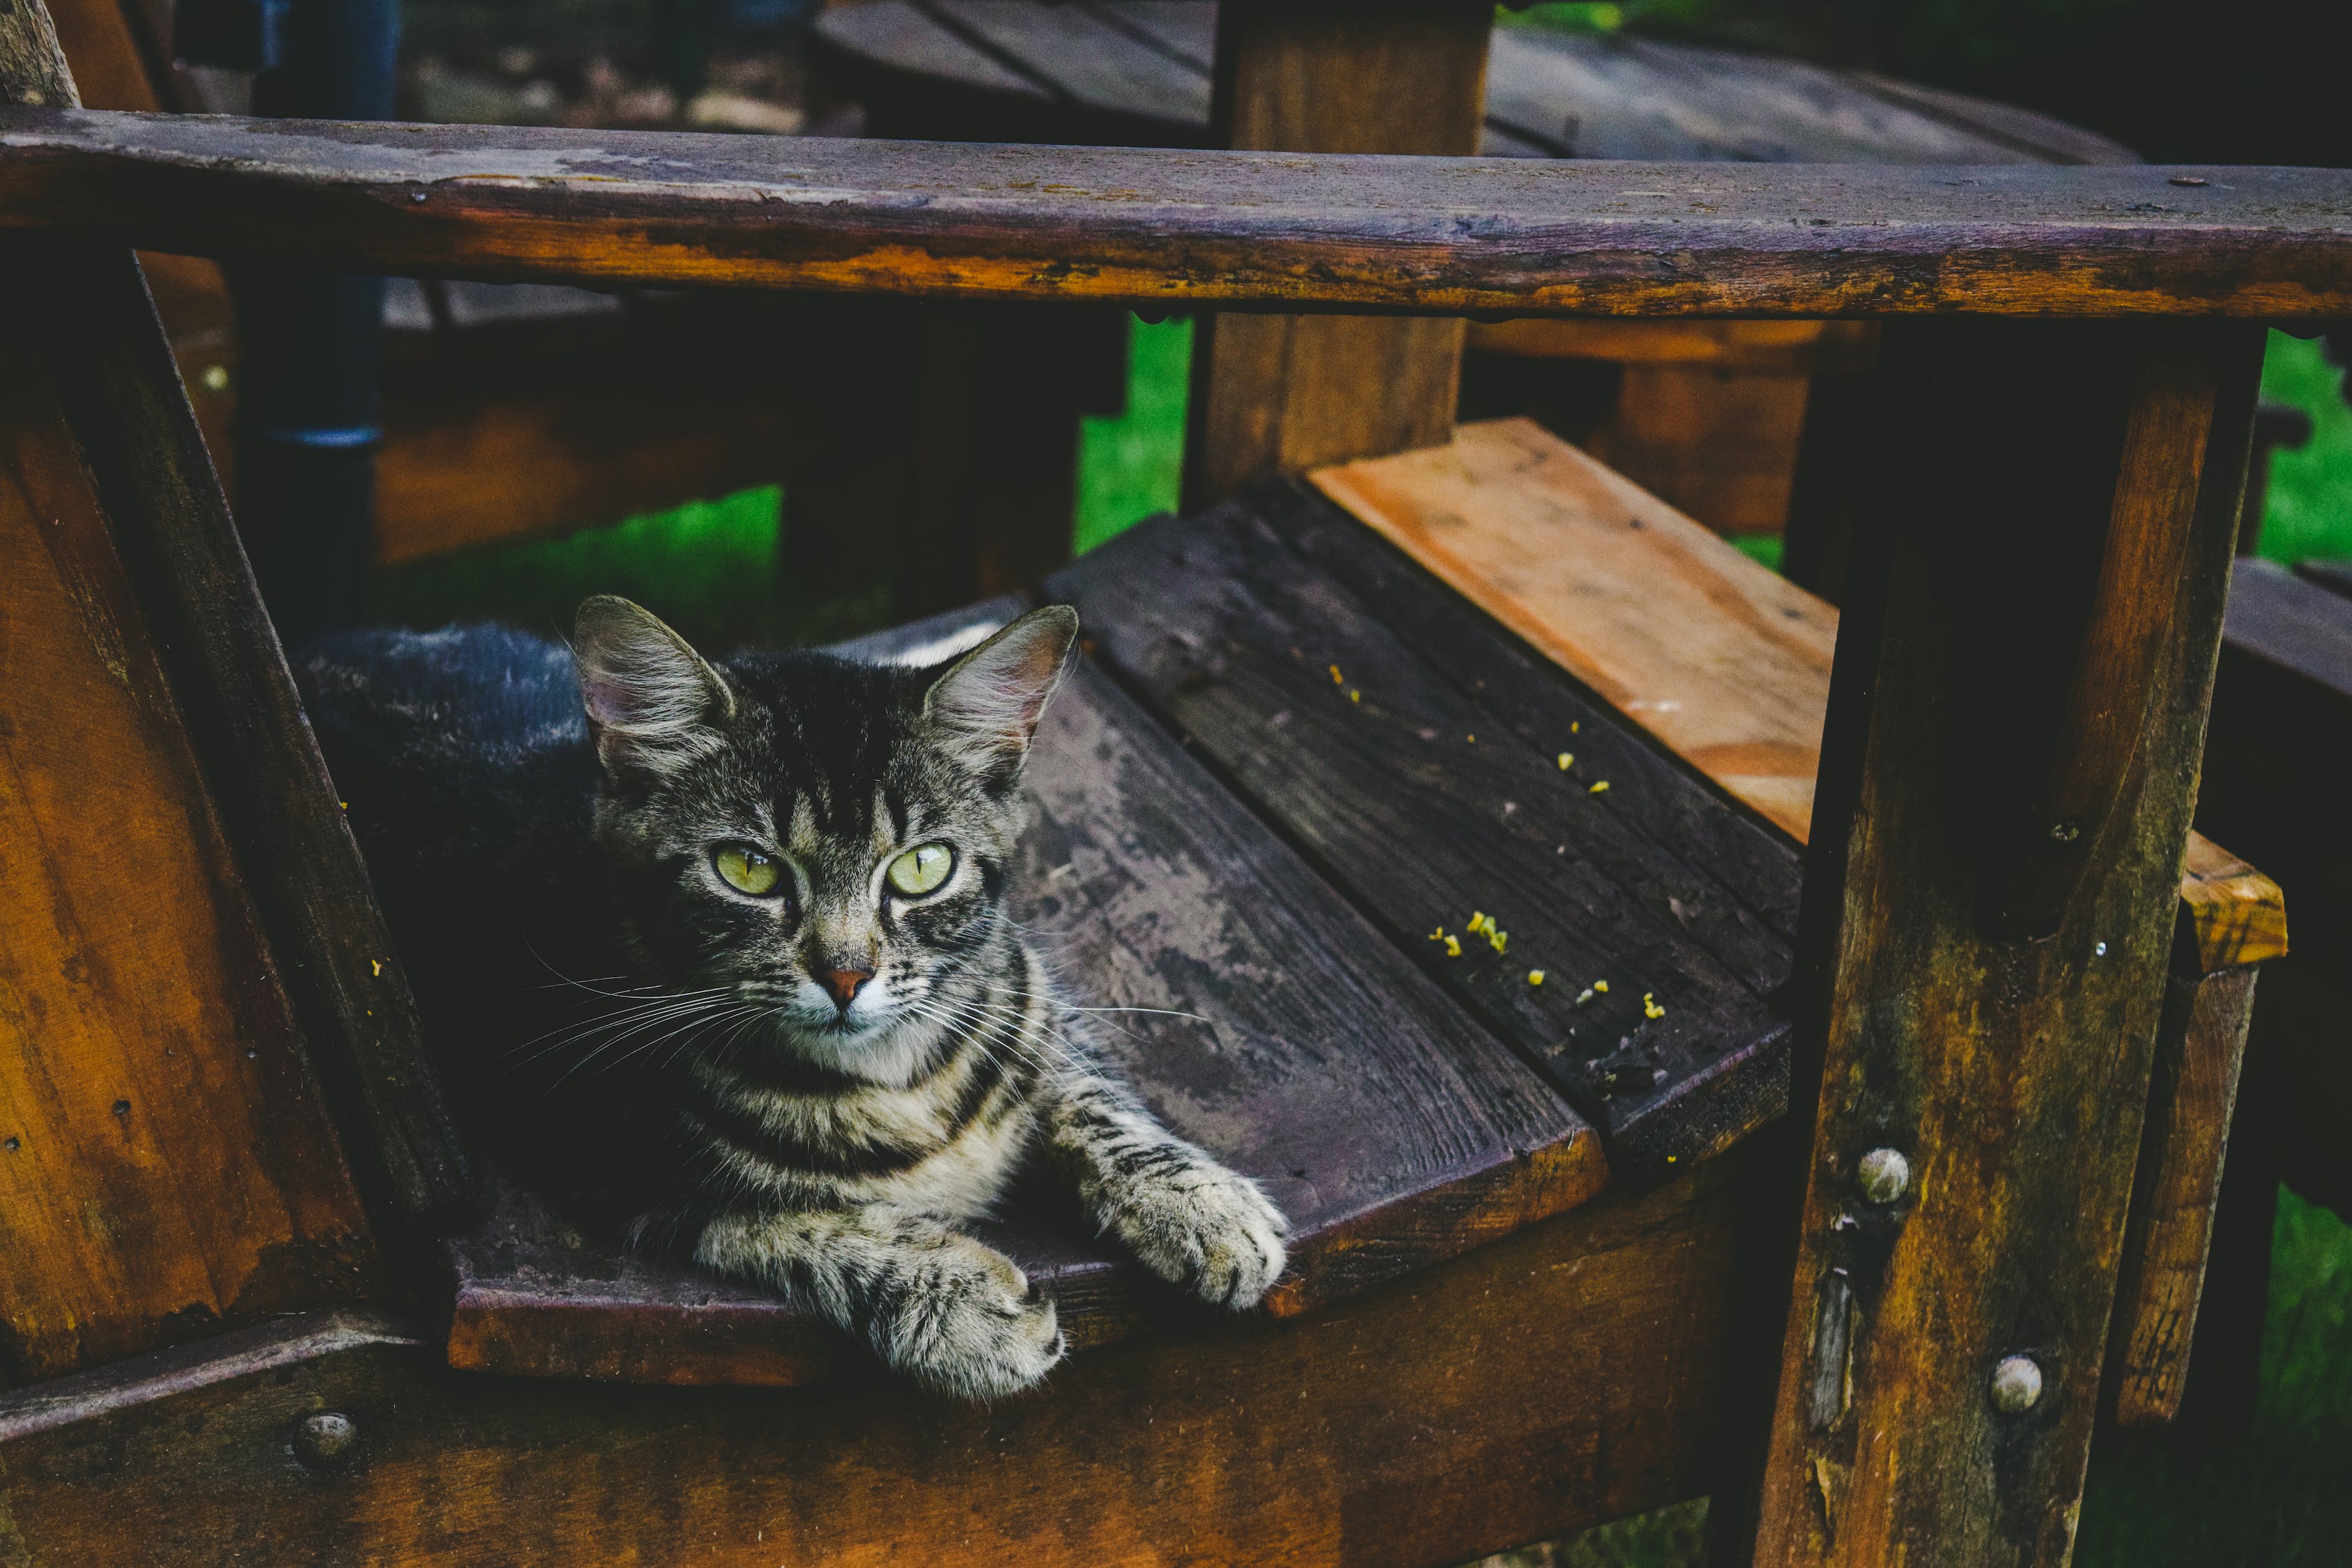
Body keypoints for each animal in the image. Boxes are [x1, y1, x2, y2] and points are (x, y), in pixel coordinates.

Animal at [296, 597, 1298, 1401]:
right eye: (748, 868)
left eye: (922, 867)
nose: (847, 973)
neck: (892, 1082)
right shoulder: (612, 1159)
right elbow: (803, 1223)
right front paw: (963, 1304)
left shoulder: (1023, 998)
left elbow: (1090, 1093)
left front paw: (1200, 1202)